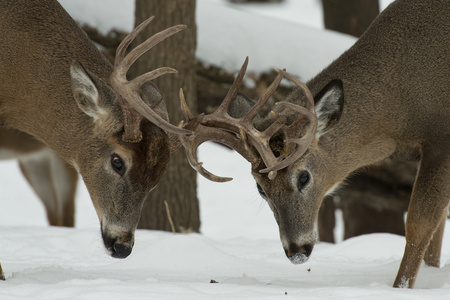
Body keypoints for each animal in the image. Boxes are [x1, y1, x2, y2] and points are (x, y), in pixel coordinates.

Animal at [175, 0, 450, 290]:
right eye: (261, 189)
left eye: (304, 177)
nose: (297, 251)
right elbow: (437, 229)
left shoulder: (442, 139)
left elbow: (419, 224)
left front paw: (400, 288)